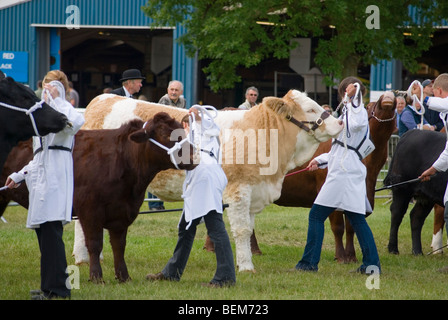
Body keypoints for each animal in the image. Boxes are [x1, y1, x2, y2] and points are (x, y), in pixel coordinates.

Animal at [0, 113, 196, 282]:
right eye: (164, 133)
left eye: (181, 129)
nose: (193, 155)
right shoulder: (89, 211)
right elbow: (95, 244)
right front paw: (96, 277)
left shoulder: (122, 213)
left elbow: (119, 245)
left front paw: (123, 276)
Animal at [73, 91, 342, 272]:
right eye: (310, 109)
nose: (339, 122)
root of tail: (102, 99)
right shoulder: (239, 190)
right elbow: (242, 230)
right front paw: (246, 267)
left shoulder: (254, 192)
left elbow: (248, 229)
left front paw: (244, 261)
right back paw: (82, 257)